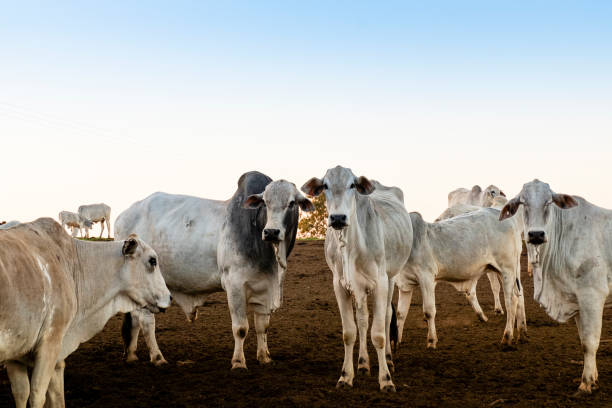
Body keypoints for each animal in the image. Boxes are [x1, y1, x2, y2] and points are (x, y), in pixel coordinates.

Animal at [116, 171, 314, 368]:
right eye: (265, 202)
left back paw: (131, 355)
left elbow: (262, 326)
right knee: (146, 322)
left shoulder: (265, 287)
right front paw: (238, 362)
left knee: (135, 320)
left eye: (292, 203)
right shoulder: (234, 284)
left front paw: (264, 357)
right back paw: (158, 357)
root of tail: (123, 216)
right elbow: (241, 328)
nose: (271, 232)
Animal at [302, 166, 412, 392]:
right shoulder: (340, 285)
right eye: (325, 185)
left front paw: (385, 380)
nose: (338, 218)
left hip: (391, 278)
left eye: (352, 184)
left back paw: (388, 360)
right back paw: (363, 363)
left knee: (387, 316)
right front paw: (346, 376)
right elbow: (350, 332)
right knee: (362, 319)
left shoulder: (380, 283)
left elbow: (378, 333)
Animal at [500, 179, 608, 396]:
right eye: (523, 203)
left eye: (549, 202)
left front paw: (586, 383)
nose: (536, 234)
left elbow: (590, 342)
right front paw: (593, 379)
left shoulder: (592, 295)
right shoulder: (576, 300)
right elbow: (583, 340)